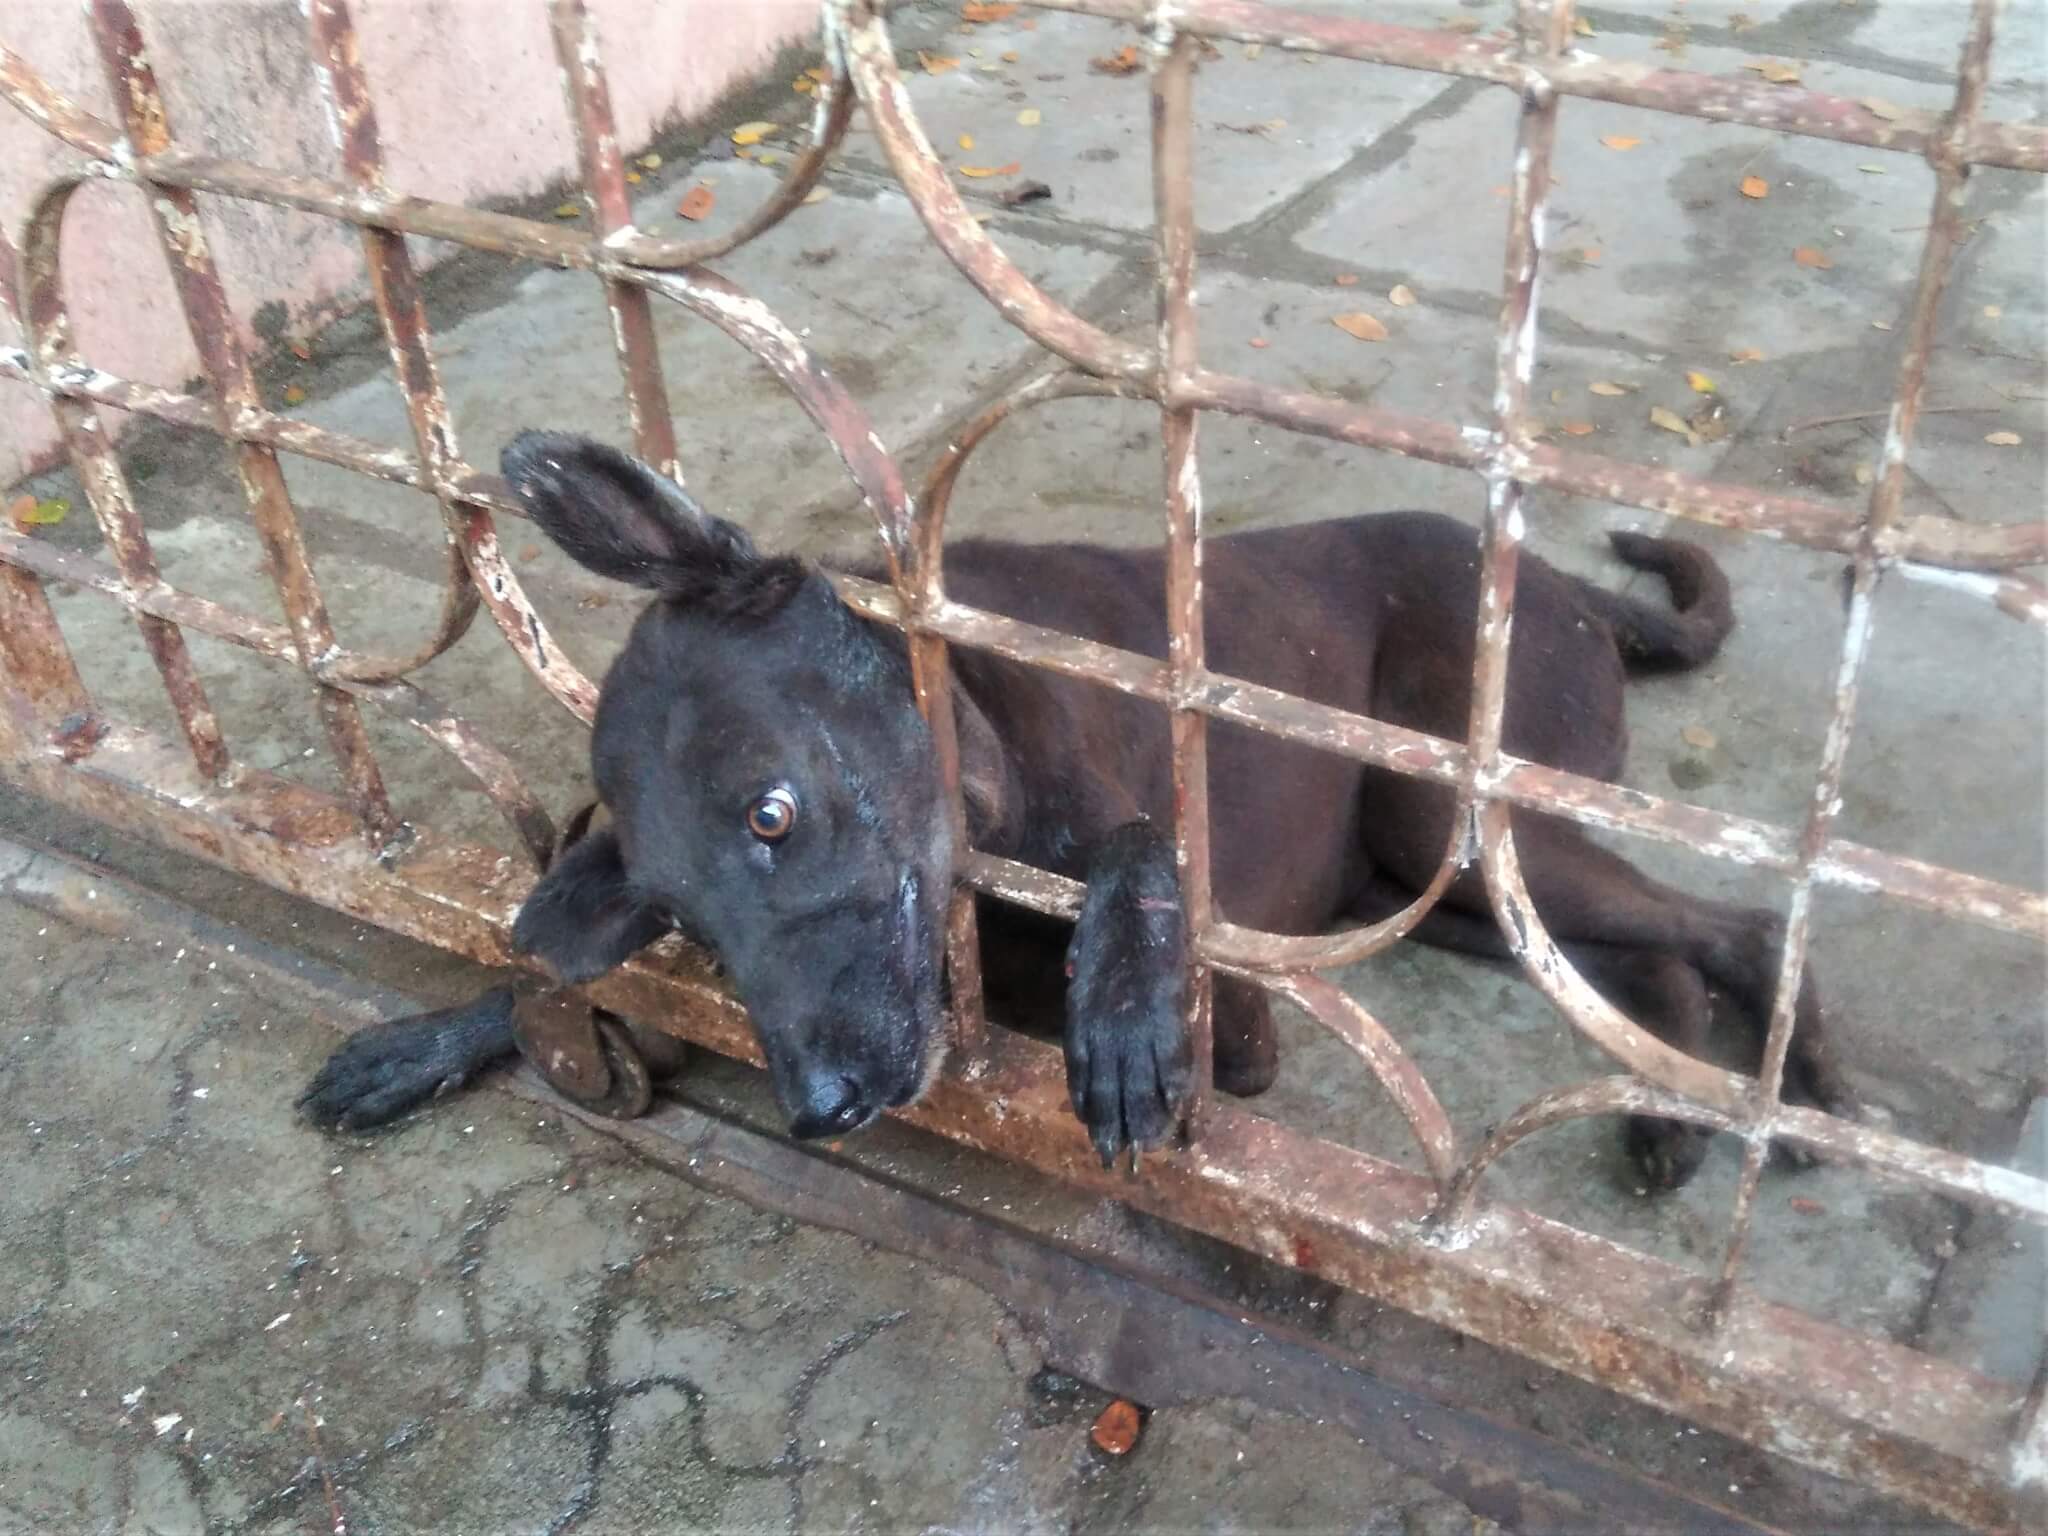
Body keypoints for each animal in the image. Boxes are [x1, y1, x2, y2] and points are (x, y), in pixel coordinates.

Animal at [303, 434, 1859, 1187]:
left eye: (773, 815)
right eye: (677, 907)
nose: (818, 1110)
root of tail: (1569, 585)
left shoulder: (1234, 1019)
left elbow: (1133, 849)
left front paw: (1114, 1019)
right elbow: (554, 978)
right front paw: (422, 1040)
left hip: (1446, 827)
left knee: (1732, 924)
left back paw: (1790, 1093)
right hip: (1441, 893)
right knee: (1652, 950)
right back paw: (1676, 1110)